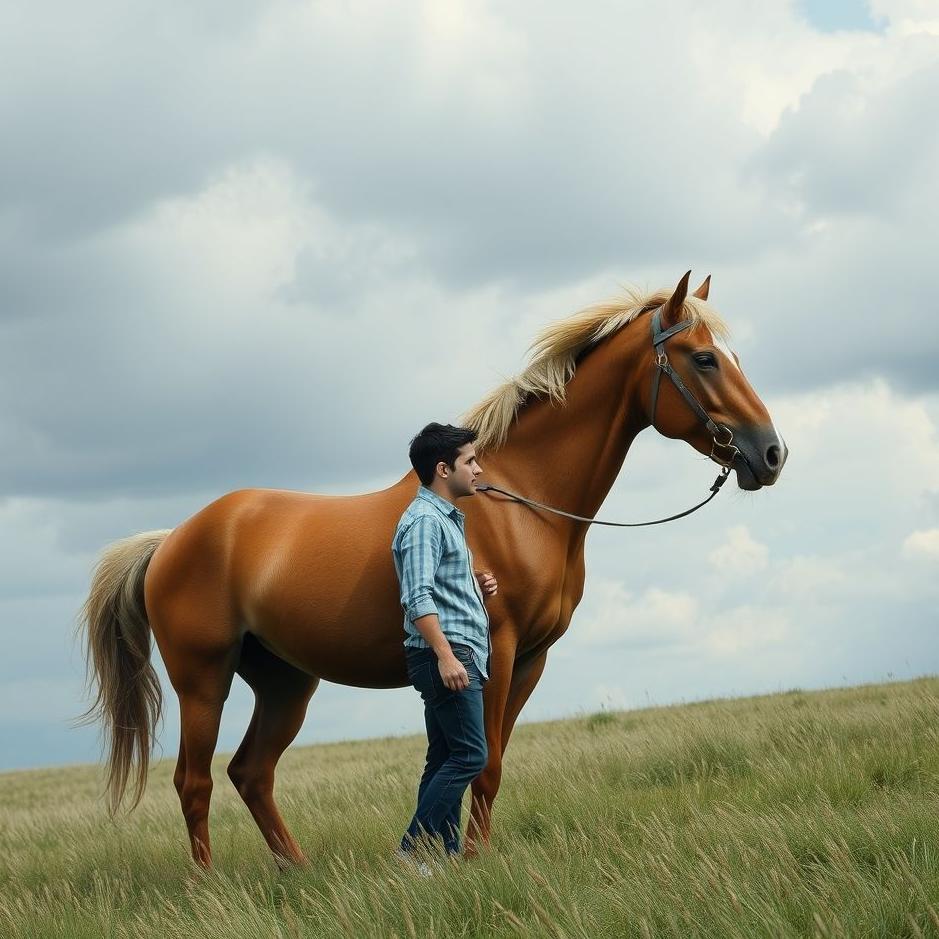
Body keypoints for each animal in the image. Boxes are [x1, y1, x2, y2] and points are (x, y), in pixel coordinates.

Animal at [79, 271, 786, 868]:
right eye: (704, 358)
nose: (771, 453)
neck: (518, 497)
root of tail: (171, 539)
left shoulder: (531, 660)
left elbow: (484, 765)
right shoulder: (497, 648)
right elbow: (485, 764)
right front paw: (472, 862)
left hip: (286, 683)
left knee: (251, 772)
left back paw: (297, 872)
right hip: (204, 682)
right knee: (194, 782)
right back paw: (208, 885)